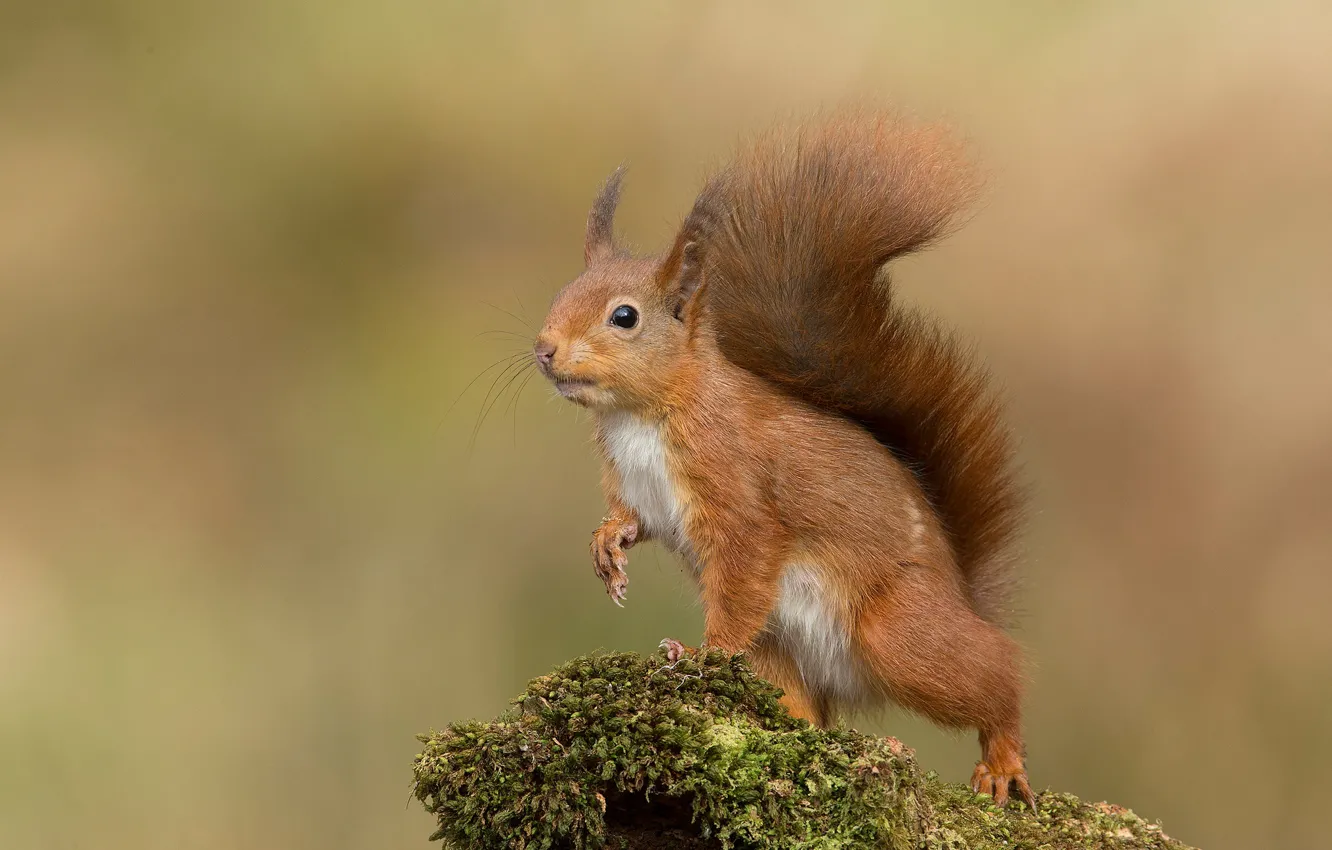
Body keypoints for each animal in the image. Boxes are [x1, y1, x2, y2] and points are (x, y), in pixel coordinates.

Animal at [524, 113, 1033, 810]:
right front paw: (608, 542)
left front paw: (701, 654)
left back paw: (1002, 755)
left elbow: (747, 555)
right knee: (805, 710)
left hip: (897, 629)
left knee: (997, 671)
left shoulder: (736, 483)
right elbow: (634, 518)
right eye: (562, 292)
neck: (639, 417)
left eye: (624, 317)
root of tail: (960, 589)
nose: (544, 350)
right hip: (777, 653)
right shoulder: (633, 482)